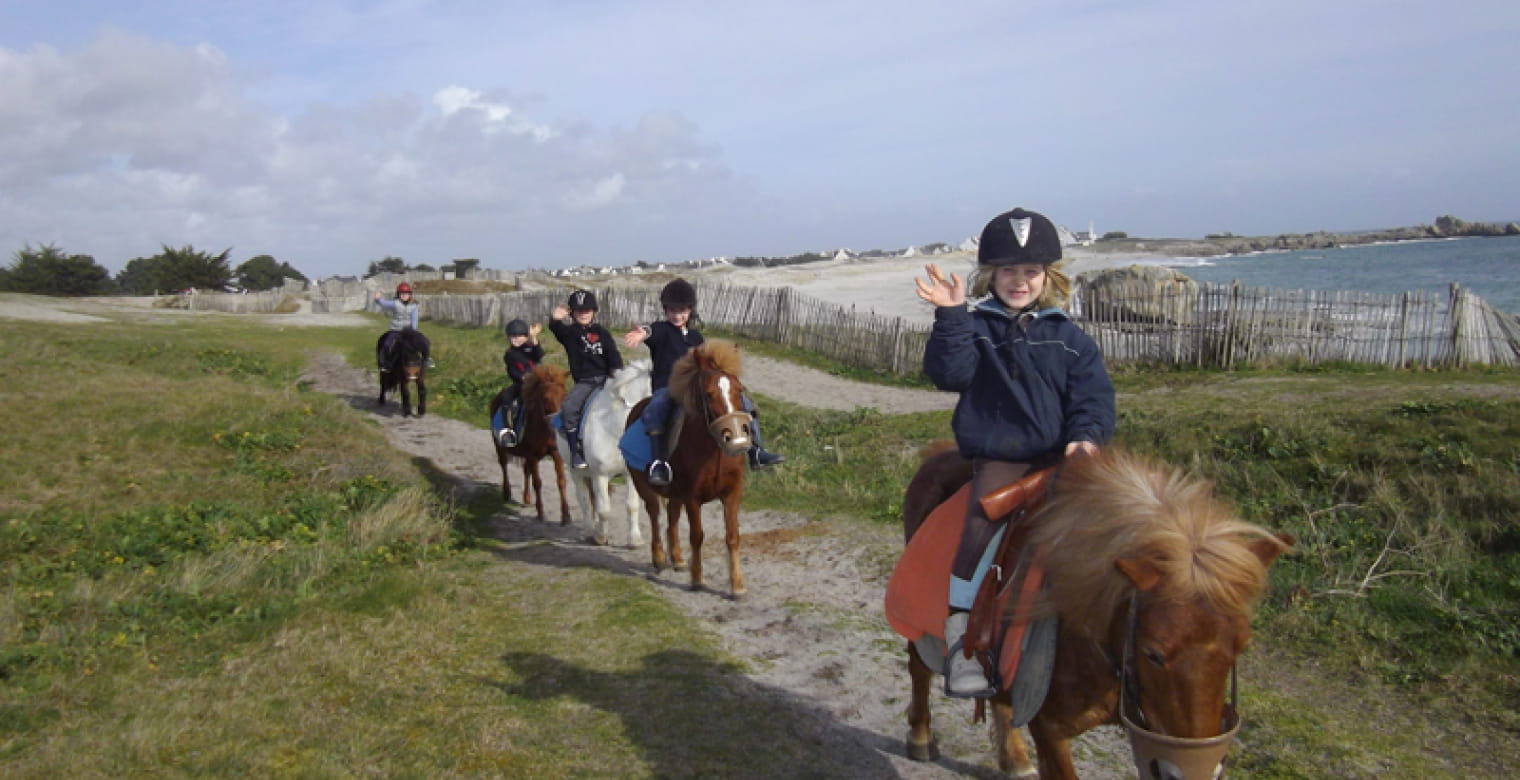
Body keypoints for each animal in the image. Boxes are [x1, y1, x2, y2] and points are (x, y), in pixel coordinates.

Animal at [492, 361, 571, 520]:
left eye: (564, 395)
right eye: (545, 398)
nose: (559, 424)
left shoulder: (555, 454)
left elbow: (561, 481)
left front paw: (566, 516)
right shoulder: (532, 456)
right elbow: (538, 482)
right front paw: (540, 513)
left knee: (525, 470)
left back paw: (527, 498)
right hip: (499, 446)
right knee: (504, 465)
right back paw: (507, 493)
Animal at [559, 360, 653, 547]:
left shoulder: (629, 473)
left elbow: (632, 506)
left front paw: (634, 540)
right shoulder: (599, 475)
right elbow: (604, 510)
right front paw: (601, 537)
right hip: (576, 472)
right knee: (584, 500)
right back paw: (590, 531)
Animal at [626, 339, 750, 596]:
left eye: (739, 390)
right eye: (709, 394)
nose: (737, 439)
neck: (713, 452)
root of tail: (637, 408)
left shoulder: (732, 494)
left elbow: (732, 535)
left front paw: (737, 586)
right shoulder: (693, 498)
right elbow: (697, 536)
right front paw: (697, 579)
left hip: (675, 493)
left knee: (672, 518)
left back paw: (678, 558)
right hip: (644, 485)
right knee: (654, 514)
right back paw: (659, 558)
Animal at [899, 443, 1295, 778]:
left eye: (1240, 646)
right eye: (1152, 653)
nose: (1189, 770)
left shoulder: (1147, 738)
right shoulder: (1051, 730)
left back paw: (1015, 759)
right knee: (919, 667)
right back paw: (921, 736)